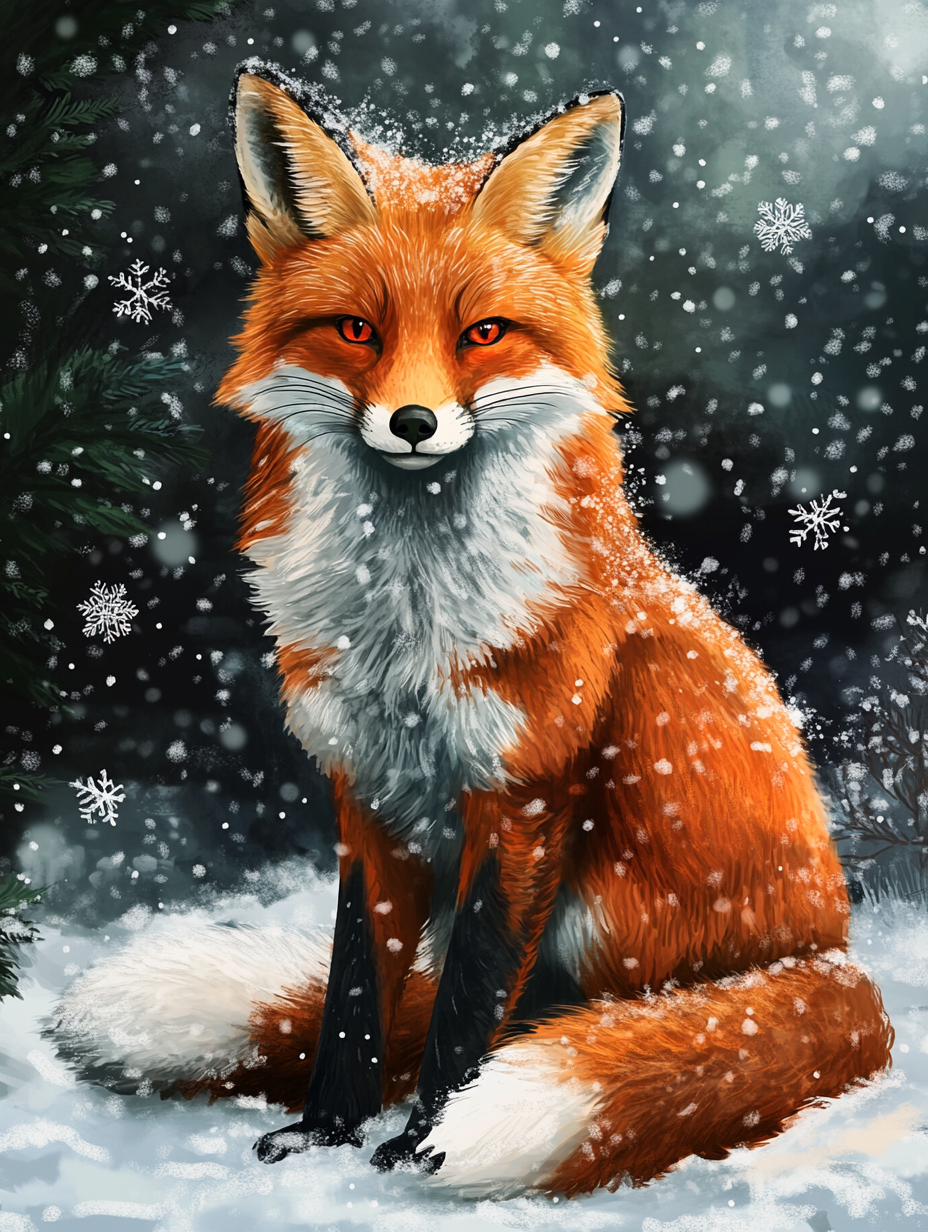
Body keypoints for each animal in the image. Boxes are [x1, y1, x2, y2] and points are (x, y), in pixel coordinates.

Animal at [50, 67, 892, 1199]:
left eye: (482, 334)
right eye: (356, 330)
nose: (412, 423)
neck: (405, 627)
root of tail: (833, 950)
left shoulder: (523, 796)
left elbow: (464, 1005)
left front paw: (416, 1142)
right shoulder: (367, 796)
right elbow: (358, 992)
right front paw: (326, 1131)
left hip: (614, 907)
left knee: (558, 1013)